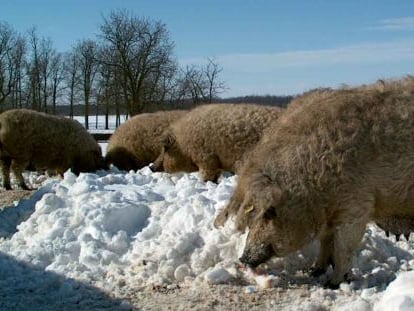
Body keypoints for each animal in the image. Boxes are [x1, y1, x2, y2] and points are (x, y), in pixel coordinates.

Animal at [150, 103, 284, 184]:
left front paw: (204, 184)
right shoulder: (215, 161)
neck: (183, 144)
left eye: (165, 148)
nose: (151, 167)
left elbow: (207, 175)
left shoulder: (205, 157)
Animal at [215, 79, 414, 288]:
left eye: (269, 213)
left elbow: (344, 247)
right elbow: (325, 241)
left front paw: (333, 284)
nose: (243, 259)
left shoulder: (356, 204)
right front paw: (313, 271)